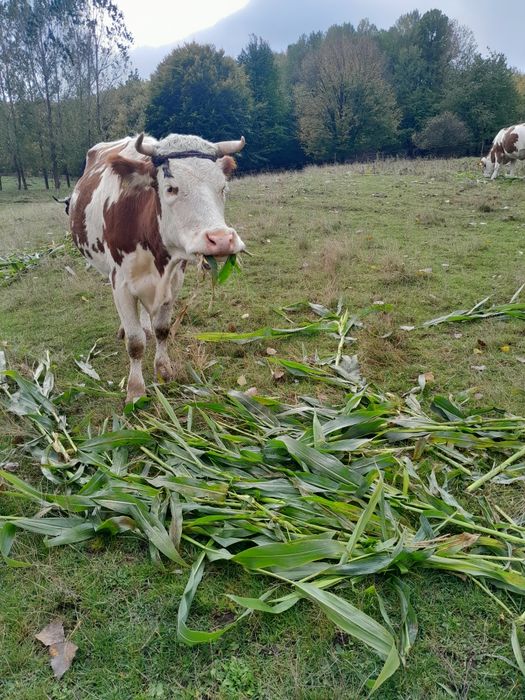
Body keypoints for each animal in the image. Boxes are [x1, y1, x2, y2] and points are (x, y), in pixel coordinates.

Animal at [69, 132, 246, 402]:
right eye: (171, 188)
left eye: (222, 188)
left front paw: (163, 370)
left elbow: (163, 329)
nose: (222, 240)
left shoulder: (173, 281)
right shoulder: (121, 284)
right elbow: (135, 343)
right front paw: (135, 389)